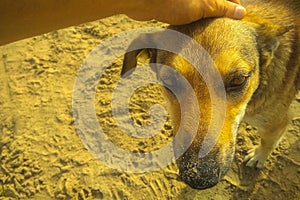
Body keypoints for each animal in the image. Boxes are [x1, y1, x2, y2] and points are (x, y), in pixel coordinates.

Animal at [120, 0, 300, 190]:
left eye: (238, 79)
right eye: (169, 80)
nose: (199, 177)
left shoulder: (277, 123)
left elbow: (268, 142)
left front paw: (259, 156)